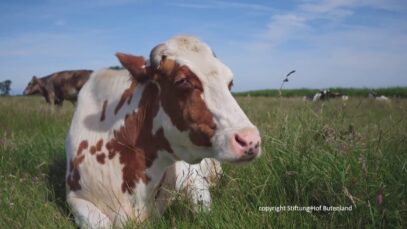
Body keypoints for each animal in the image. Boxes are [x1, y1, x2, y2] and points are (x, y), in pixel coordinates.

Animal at [63, 35, 262, 227]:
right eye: (183, 81)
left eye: (230, 82)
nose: (250, 140)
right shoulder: (75, 198)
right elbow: (100, 222)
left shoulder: (194, 179)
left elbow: (203, 210)